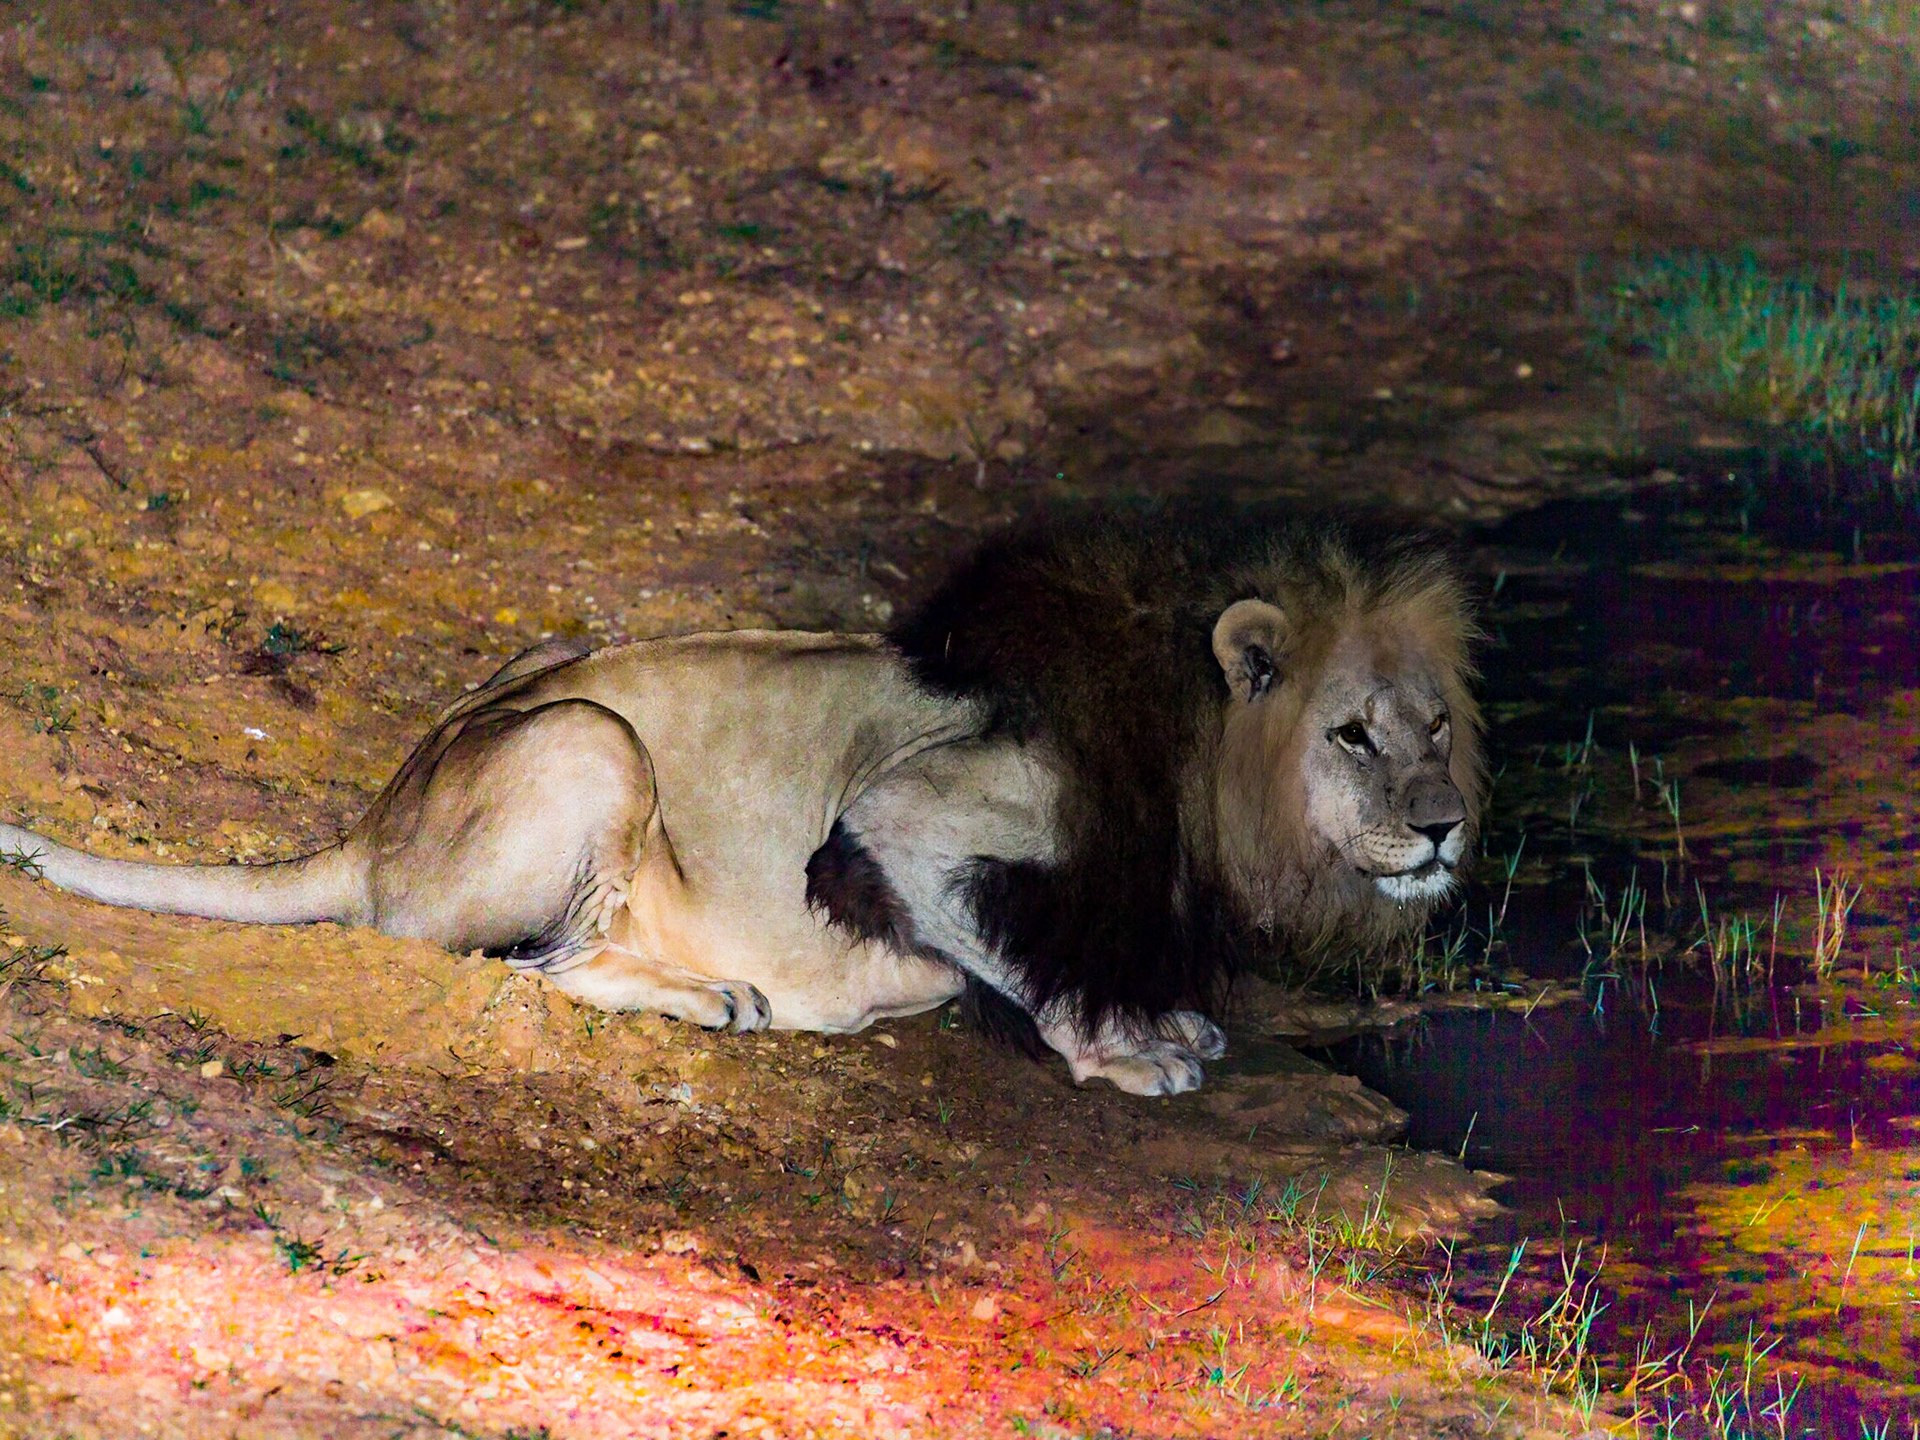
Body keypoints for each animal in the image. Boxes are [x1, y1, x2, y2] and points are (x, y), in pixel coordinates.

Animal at [0, 514, 1481, 1095]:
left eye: (1439, 728)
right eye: (1352, 735)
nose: (1444, 823)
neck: (1197, 767)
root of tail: (375, 824)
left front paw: (1161, 1019)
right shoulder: (911, 815)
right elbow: (1009, 939)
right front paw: (1120, 1051)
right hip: (592, 748)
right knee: (539, 966)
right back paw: (718, 995)